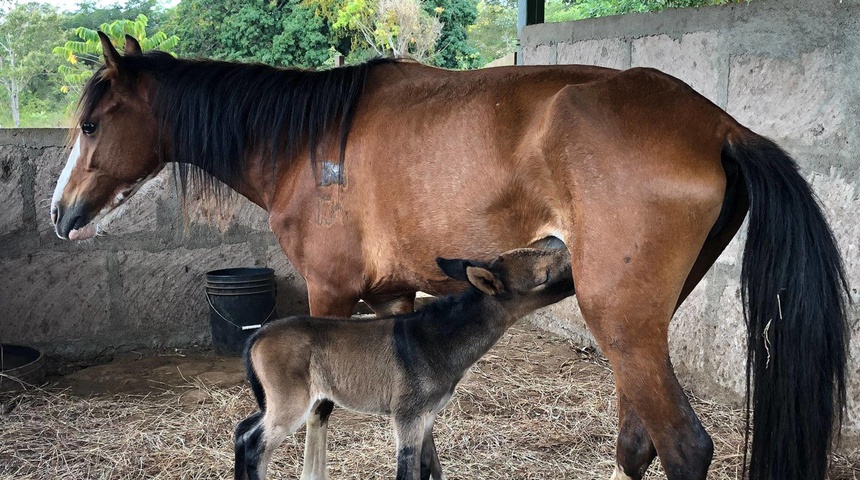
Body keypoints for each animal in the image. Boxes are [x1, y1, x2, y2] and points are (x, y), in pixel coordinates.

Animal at [232, 248, 576, 480]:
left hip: (282, 400)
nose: (574, 272)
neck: (439, 340)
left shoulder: (428, 415)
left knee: (243, 430)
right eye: (544, 277)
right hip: (290, 401)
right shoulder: (407, 416)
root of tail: (258, 337)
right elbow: (408, 469)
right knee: (256, 444)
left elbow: (430, 466)